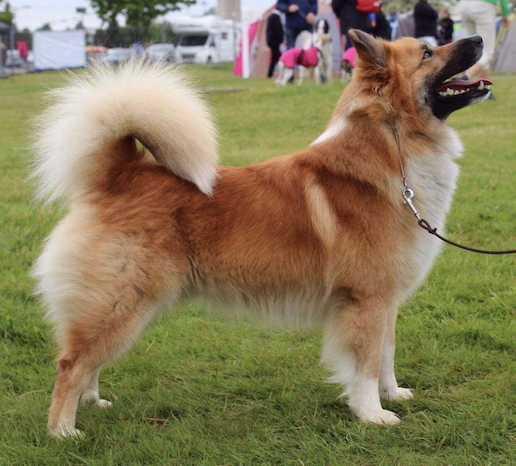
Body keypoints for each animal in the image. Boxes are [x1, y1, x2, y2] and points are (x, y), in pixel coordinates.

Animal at [33, 30, 492, 436]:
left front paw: (393, 394)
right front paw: (372, 415)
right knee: (71, 363)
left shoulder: (386, 300)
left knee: (88, 361)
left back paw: (93, 402)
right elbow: (364, 364)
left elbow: (387, 355)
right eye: (428, 52)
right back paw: (63, 431)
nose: (478, 40)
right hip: (121, 301)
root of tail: (121, 173)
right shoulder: (366, 298)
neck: (393, 147)